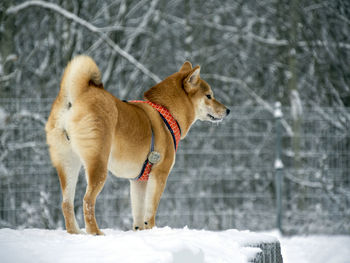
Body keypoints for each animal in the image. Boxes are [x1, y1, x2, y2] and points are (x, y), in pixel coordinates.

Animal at [45, 55, 230, 235]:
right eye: (209, 96)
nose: (228, 110)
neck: (166, 112)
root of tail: (78, 95)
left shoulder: (138, 181)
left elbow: (139, 213)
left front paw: (140, 231)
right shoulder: (159, 175)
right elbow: (150, 211)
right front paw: (152, 230)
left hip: (68, 164)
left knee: (66, 203)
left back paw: (75, 232)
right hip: (98, 165)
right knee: (87, 200)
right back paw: (94, 232)